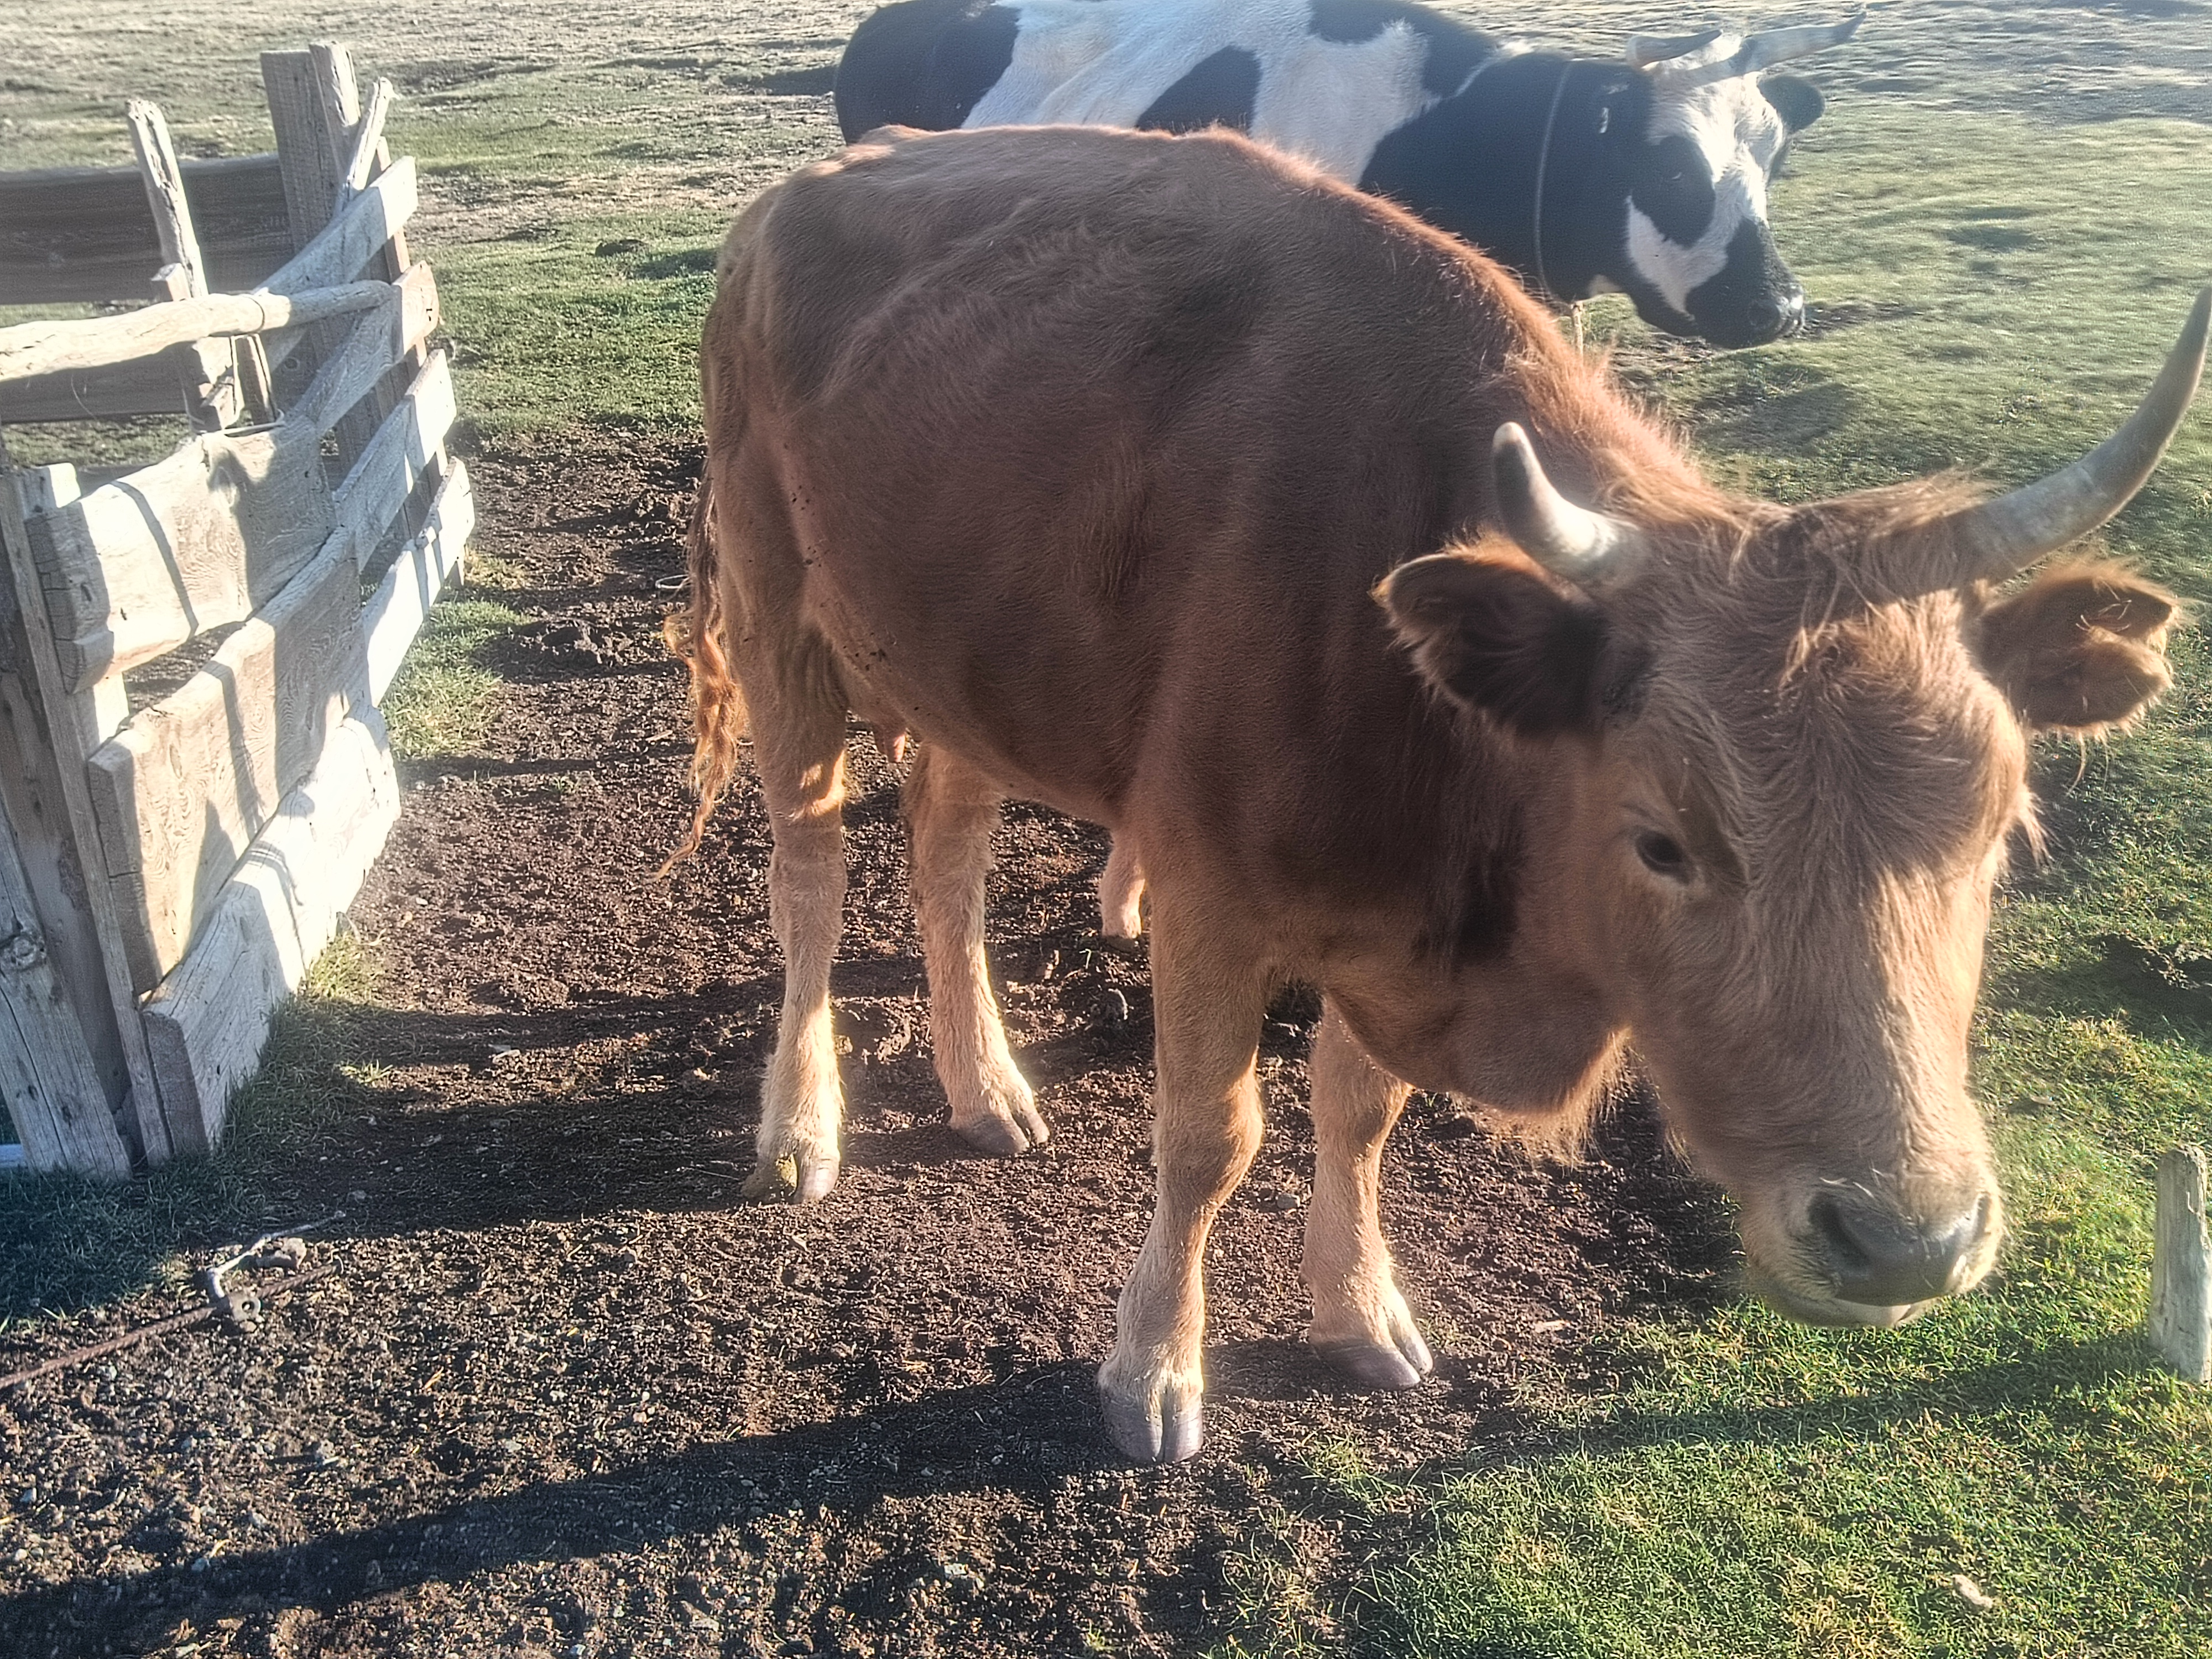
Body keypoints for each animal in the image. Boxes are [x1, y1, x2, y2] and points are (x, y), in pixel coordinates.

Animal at [669, 123, 2204, 1462]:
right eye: (1661, 842)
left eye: (1993, 833)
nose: (1905, 1242)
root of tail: (789, 200)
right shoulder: (1209, 900)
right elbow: (1208, 1139)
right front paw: (1155, 1367)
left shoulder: (1395, 930)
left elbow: (1358, 1115)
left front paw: (1361, 1310)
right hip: (777, 615)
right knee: (808, 869)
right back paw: (800, 1127)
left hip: (961, 669)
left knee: (944, 851)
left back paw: (984, 1082)